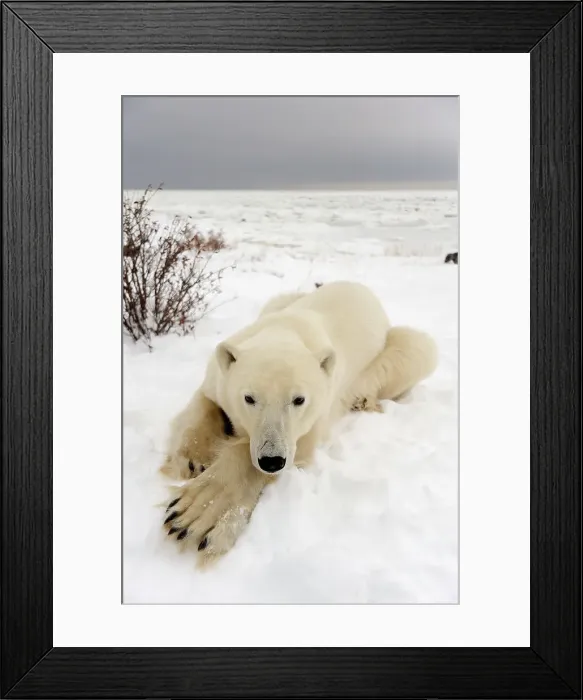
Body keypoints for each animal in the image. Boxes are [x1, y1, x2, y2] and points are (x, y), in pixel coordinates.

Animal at [161, 281, 438, 564]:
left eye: (299, 399)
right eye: (249, 398)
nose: (272, 460)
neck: (284, 331)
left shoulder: (319, 408)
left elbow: (293, 450)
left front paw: (195, 515)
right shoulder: (220, 376)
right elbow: (206, 400)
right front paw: (192, 460)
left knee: (415, 348)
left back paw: (364, 400)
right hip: (281, 300)